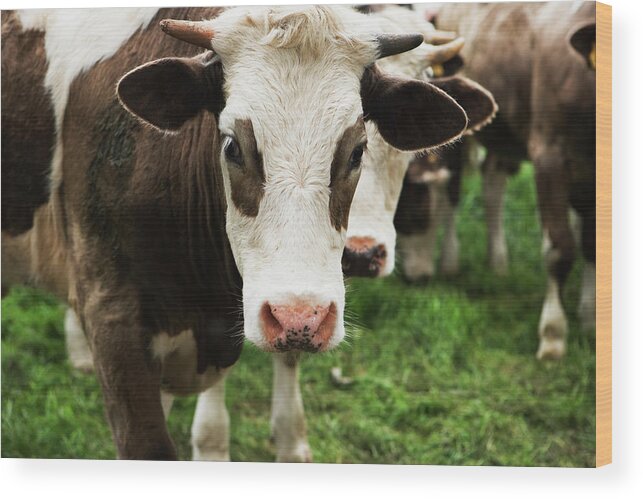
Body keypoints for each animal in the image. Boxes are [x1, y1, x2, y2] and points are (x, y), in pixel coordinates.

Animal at [412, 0, 600, 360]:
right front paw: (553, 334)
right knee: (448, 189)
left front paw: (590, 318)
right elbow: (560, 248)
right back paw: (442, 262)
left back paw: (497, 261)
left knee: (492, 180)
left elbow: (592, 244)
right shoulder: (549, 155)